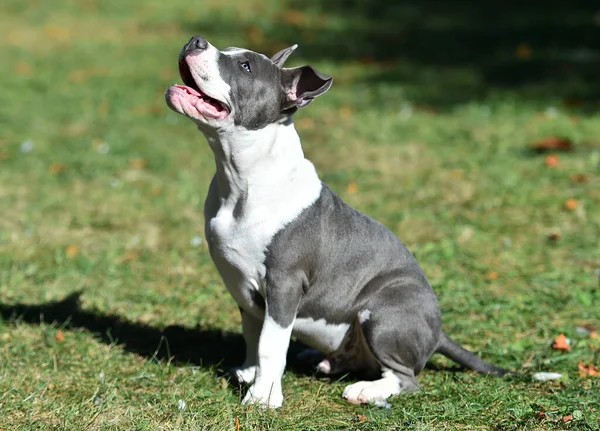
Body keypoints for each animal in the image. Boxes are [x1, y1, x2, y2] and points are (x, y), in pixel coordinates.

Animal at [165, 34, 510, 408]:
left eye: (245, 66)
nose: (196, 40)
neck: (242, 179)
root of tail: (438, 331)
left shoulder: (284, 283)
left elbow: (270, 343)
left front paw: (263, 398)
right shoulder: (244, 289)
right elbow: (253, 334)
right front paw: (248, 372)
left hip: (384, 310)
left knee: (406, 378)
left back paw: (365, 390)